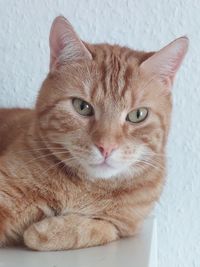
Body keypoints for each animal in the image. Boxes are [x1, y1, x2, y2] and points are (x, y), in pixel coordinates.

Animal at [0, 16, 188, 251]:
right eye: (82, 107)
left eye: (137, 115)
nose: (106, 147)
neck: (86, 188)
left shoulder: (126, 224)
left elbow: (100, 228)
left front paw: (46, 231)